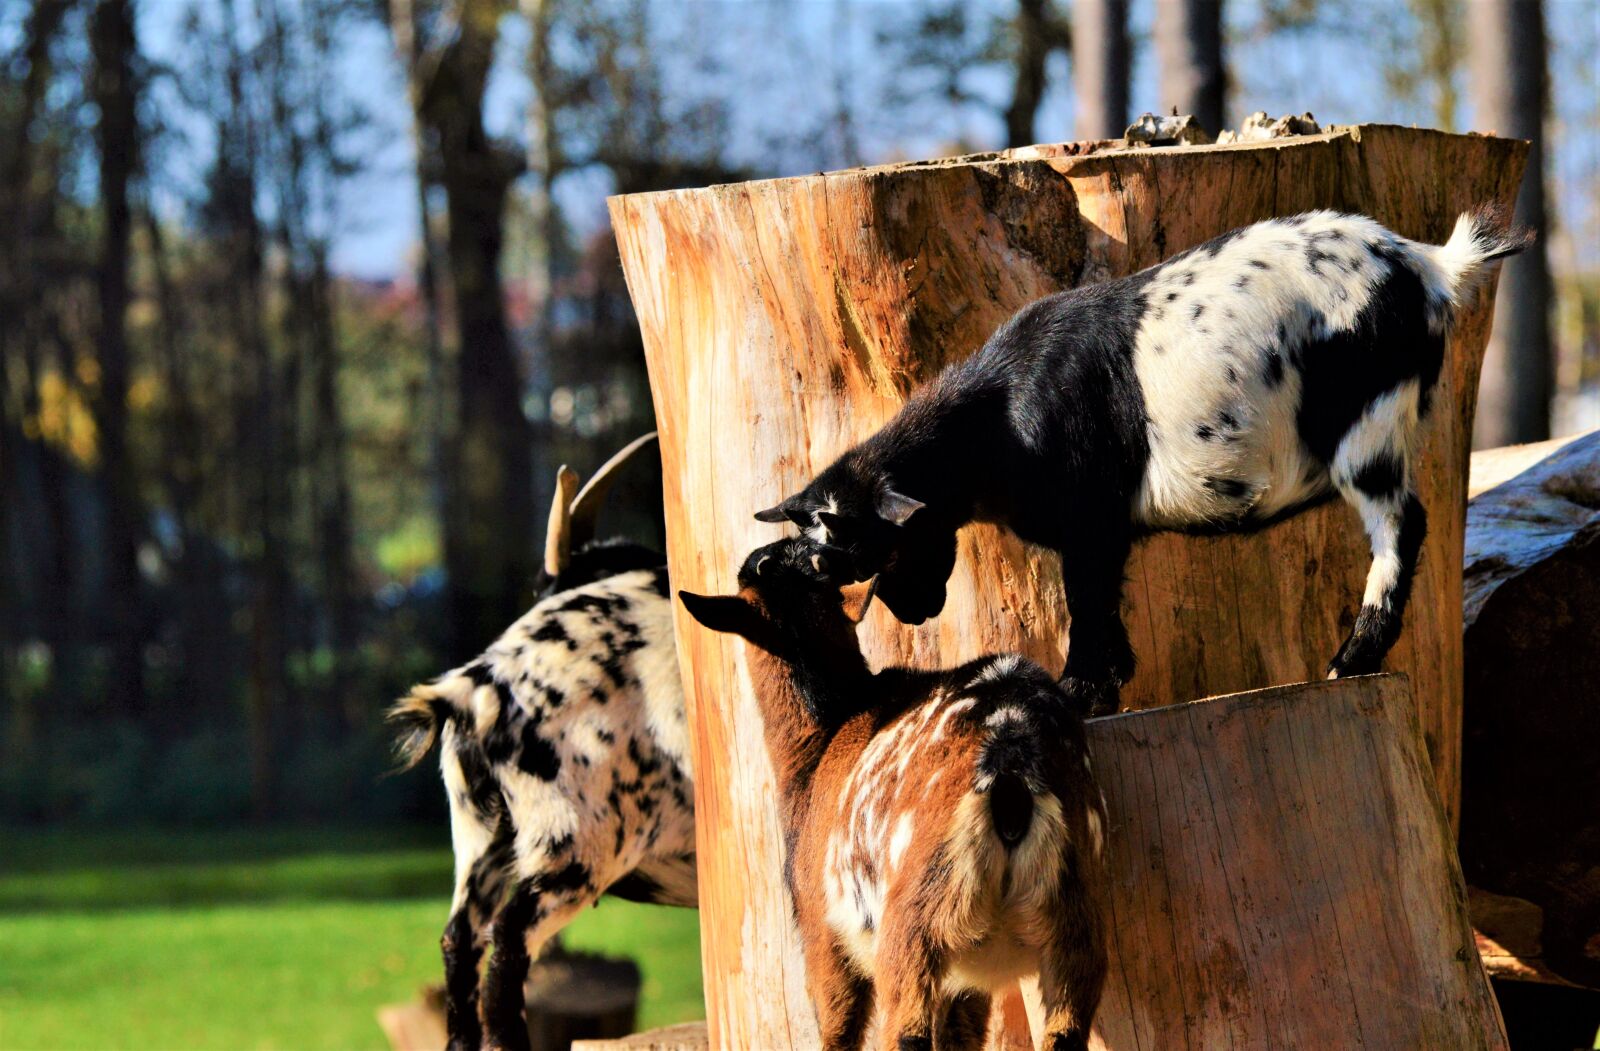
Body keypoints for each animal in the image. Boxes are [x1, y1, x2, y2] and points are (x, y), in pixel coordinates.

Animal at [681, 538, 1106, 1051]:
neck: (821, 743)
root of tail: (1011, 773)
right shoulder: (967, 981)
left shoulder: (822, 931)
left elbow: (839, 1032)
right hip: (1073, 923)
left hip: (912, 922)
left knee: (907, 1032)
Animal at [756, 207, 1534, 712]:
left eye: (857, 551)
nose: (913, 613)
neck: (998, 417)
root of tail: (1433, 265)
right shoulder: (1102, 532)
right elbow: (1104, 603)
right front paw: (1109, 685)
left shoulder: (1089, 519)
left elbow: (1086, 602)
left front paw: (1075, 693)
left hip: (1367, 429)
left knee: (1402, 524)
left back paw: (1351, 661)